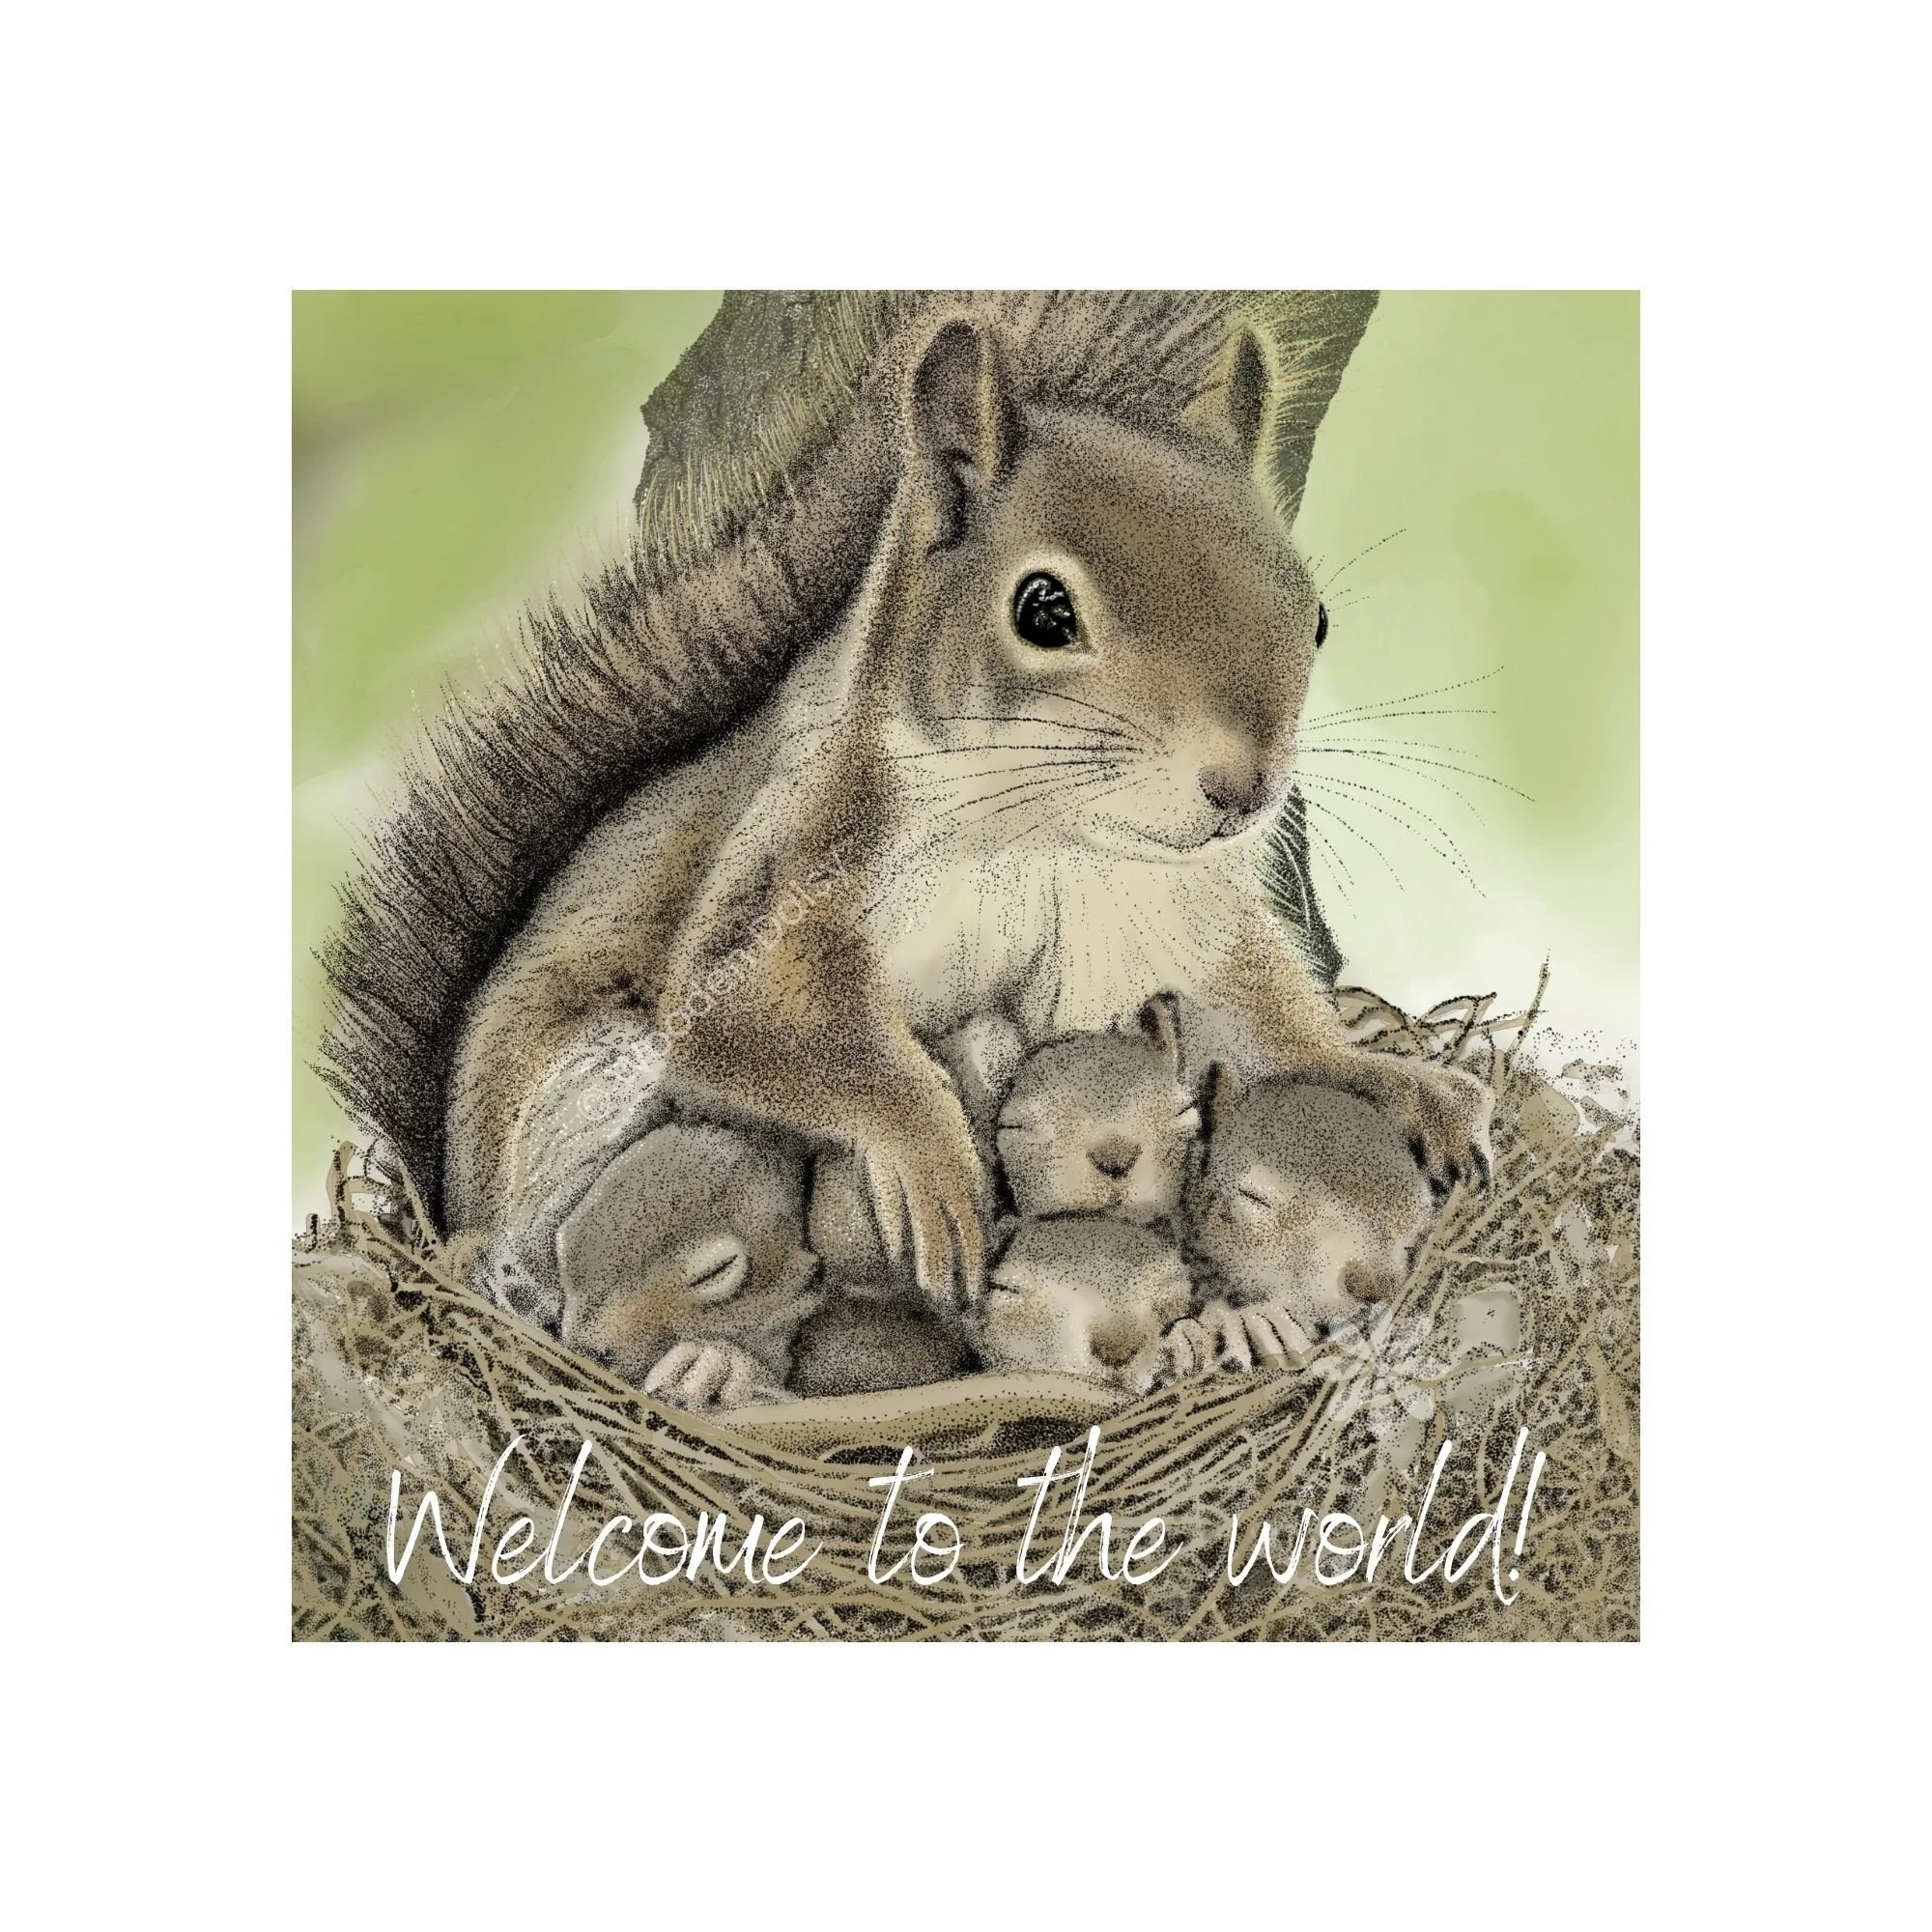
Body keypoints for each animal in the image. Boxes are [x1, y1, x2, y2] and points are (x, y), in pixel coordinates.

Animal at [319, 291, 1492, 1326]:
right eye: (1042, 609)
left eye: (1317, 616)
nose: (1243, 788)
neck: (1050, 834)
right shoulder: (797, 873)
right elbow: (761, 1020)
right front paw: (928, 1156)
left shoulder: (1164, 927)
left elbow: (1260, 1024)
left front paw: (1392, 1078)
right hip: (590, 1081)